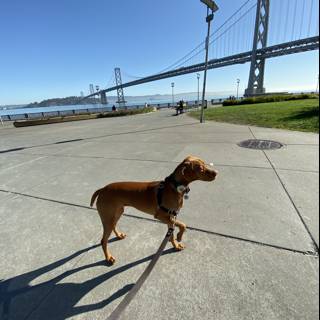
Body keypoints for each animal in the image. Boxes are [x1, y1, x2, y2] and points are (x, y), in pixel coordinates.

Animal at [90, 156, 218, 264]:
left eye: (204, 163)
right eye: (200, 168)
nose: (217, 173)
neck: (174, 187)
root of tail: (102, 189)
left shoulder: (170, 217)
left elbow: (171, 234)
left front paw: (175, 245)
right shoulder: (160, 216)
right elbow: (183, 225)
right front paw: (179, 237)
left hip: (117, 213)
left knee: (114, 226)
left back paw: (119, 235)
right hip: (108, 217)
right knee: (103, 240)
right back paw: (108, 258)